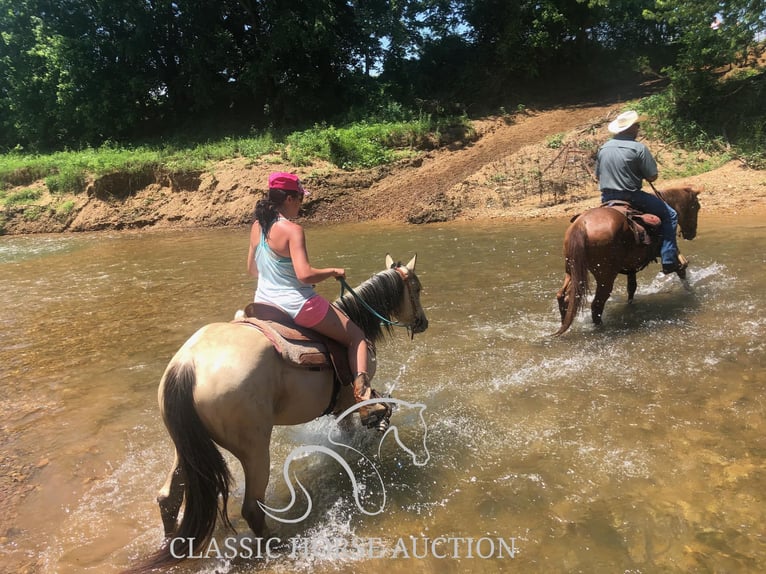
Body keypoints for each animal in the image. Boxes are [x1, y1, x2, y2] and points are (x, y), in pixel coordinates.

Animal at [123, 254, 428, 572]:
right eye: (417, 288)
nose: (423, 322)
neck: (356, 318)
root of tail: (187, 365)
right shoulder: (347, 405)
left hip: (186, 447)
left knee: (168, 498)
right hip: (255, 450)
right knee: (252, 509)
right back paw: (277, 545)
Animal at [560, 187, 704, 336]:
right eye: (696, 207)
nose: (691, 234)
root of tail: (581, 225)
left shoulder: (631, 266)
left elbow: (632, 288)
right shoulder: (669, 252)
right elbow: (681, 269)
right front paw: (691, 293)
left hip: (572, 270)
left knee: (564, 296)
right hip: (605, 277)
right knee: (596, 305)